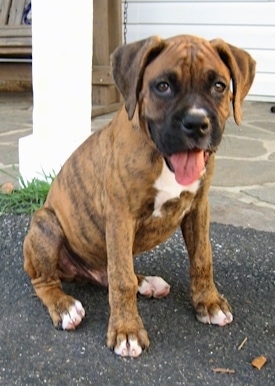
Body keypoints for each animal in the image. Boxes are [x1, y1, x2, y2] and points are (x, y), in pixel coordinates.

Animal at [23, 34, 256, 358]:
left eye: (219, 86)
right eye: (163, 86)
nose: (196, 124)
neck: (163, 157)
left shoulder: (199, 207)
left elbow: (202, 257)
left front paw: (208, 303)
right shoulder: (121, 215)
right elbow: (122, 279)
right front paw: (127, 332)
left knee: (115, 273)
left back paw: (146, 283)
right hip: (46, 225)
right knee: (48, 280)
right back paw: (65, 306)